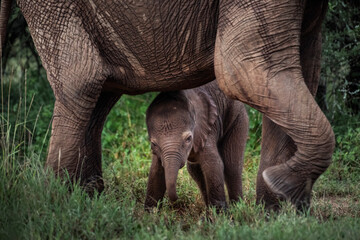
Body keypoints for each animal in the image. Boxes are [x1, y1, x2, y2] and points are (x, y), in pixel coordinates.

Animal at [143, 81, 248, 210]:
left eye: (188, 139)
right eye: (153, 144)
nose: (176, 199)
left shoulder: (206, 128)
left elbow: (214, 165)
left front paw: (220, 213)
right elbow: (155, 172)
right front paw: (149, 213)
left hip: (238, 118)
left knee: (232, 165)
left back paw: (237, 208)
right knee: (195, 171)